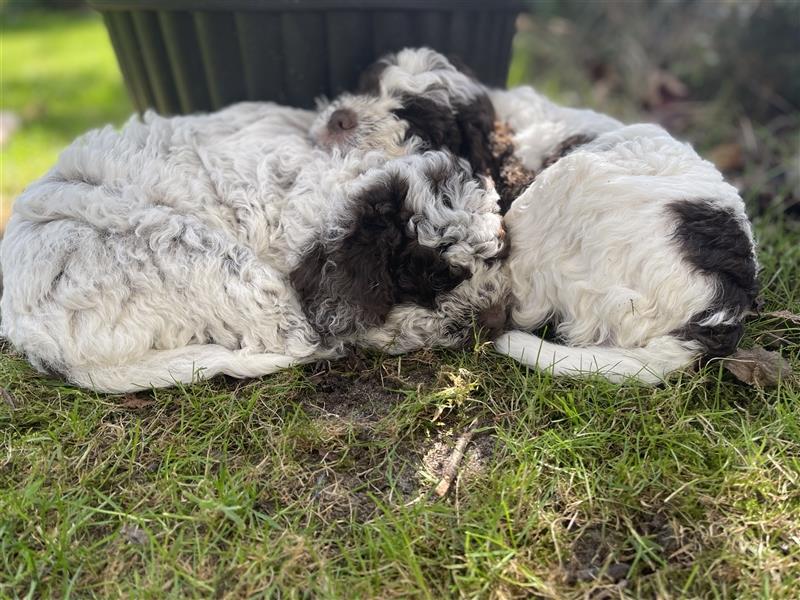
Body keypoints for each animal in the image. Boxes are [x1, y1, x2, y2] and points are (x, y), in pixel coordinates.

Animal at [1, 102, 506, 394]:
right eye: (432, 279)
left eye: (494, 257)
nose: (494, 319)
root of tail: (35, 339)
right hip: (201, 253)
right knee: (291, 340)